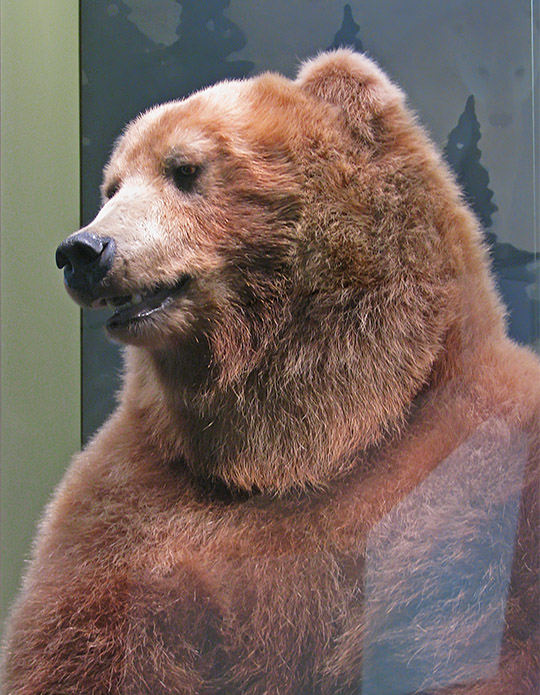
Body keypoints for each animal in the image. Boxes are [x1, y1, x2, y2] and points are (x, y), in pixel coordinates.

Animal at [1, 49, 538, 695]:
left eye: (184, 168)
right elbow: (79, 644)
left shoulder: (470, 471)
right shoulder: (128, 503)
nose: (83, 250)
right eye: (112, 185)